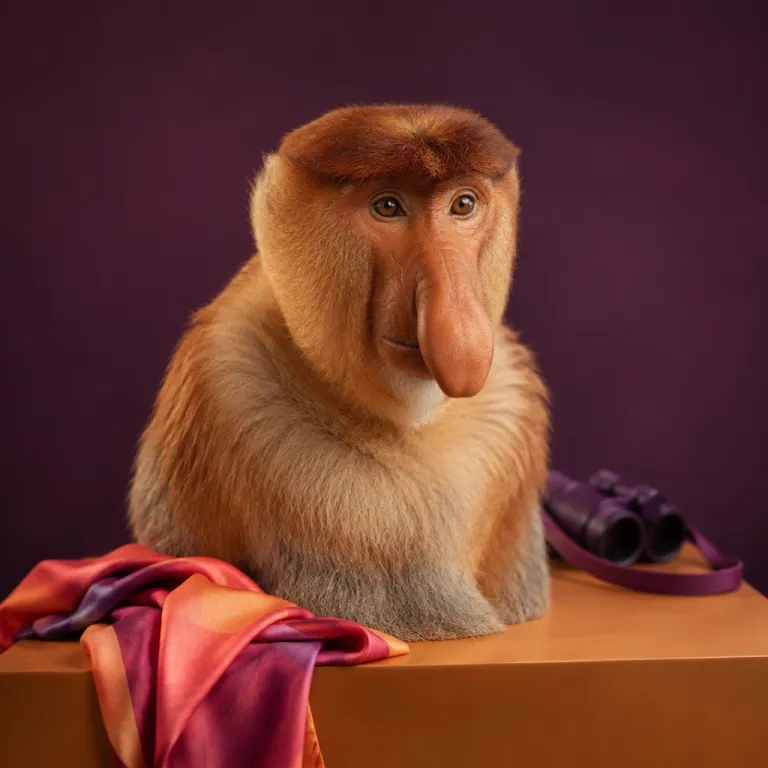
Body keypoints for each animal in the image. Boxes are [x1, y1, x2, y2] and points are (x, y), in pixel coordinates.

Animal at [128, 104, 551, 641]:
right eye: (388, 206)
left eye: (463, 205)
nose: (455, 326)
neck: (402, 424)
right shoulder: (224, 380)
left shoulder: (508, 413)